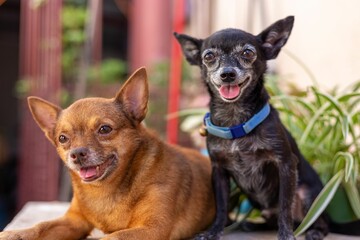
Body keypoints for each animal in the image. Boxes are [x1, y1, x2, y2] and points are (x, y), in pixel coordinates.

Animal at [0, 67, 214, 240]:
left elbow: (110, 237)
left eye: (104, 129)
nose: (76, 154)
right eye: (62, 138)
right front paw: (14, 233)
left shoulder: (152, 229)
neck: (105, 189)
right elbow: (41, 226)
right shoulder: (74, 222)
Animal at [174, 16, 330, 240]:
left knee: (318, 221)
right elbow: (221, 207)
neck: (235, 122)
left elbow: (285, 206)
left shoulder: (286, 164)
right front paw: (213, 231)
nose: (227, 74)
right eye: (209, 56)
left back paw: (315, 231)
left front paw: (286, 235)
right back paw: (250, 224)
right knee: (271, 220)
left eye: (248, 53)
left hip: (308, 195)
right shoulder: (219, 171)